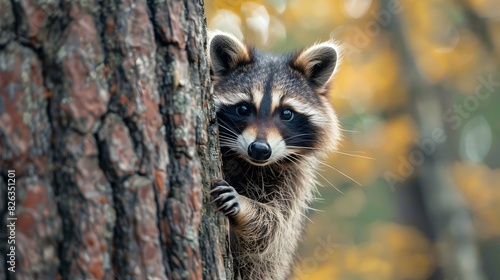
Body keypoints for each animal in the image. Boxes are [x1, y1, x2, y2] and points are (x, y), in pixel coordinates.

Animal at [206, 30, 340, 280]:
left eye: (287, 113)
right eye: (243, 108)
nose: (259, 149)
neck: (248, 163)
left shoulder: (294, 181)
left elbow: (274, 228)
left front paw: (244, 206)